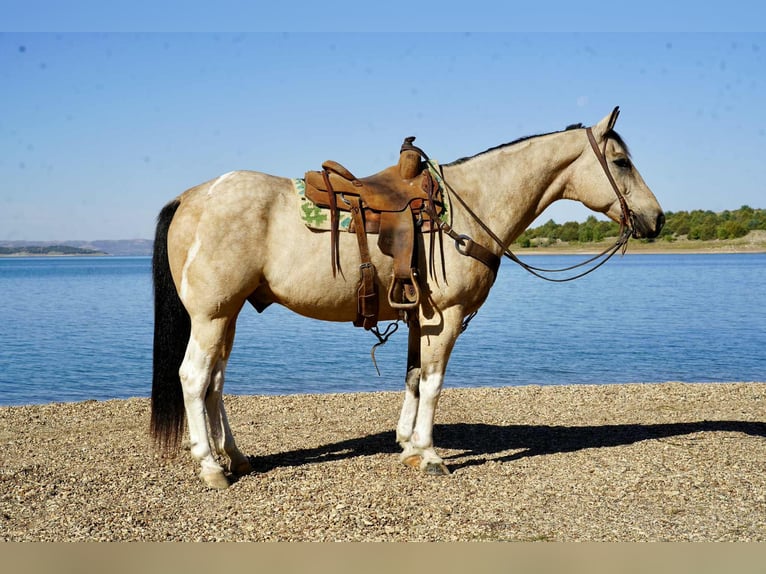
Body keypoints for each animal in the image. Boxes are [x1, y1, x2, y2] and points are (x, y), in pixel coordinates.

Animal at [150, 107, 664, 489]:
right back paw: (211, 466)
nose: (656, 218)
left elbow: (415, 378)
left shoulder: (421, 317)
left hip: (227, 315)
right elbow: (434, 383)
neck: (469, 207)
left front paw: (409, 445)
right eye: (621, 162)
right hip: (212, 314)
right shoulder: (447, 317)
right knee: (195, 378)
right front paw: (431, 456)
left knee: (215, 382)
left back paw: (235, 456)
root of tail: (192, 197)